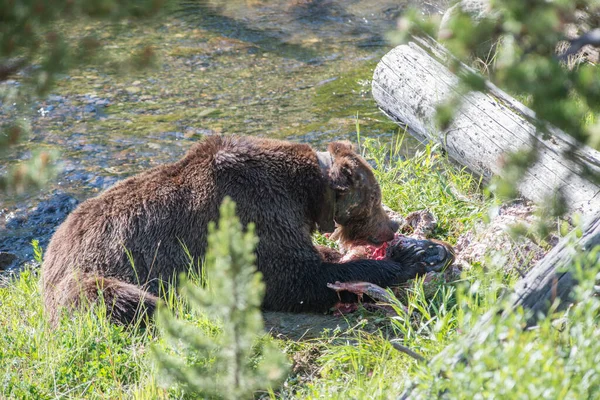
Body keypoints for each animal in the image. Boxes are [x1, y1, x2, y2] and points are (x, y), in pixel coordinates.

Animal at [41, 135, 436, 324]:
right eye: (375, 198)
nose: (391, 227)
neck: (307, 195)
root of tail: (48, 254)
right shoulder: (252, 212)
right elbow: (292, 280)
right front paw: (404, 260)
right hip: (86, 277)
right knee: (122, 299)